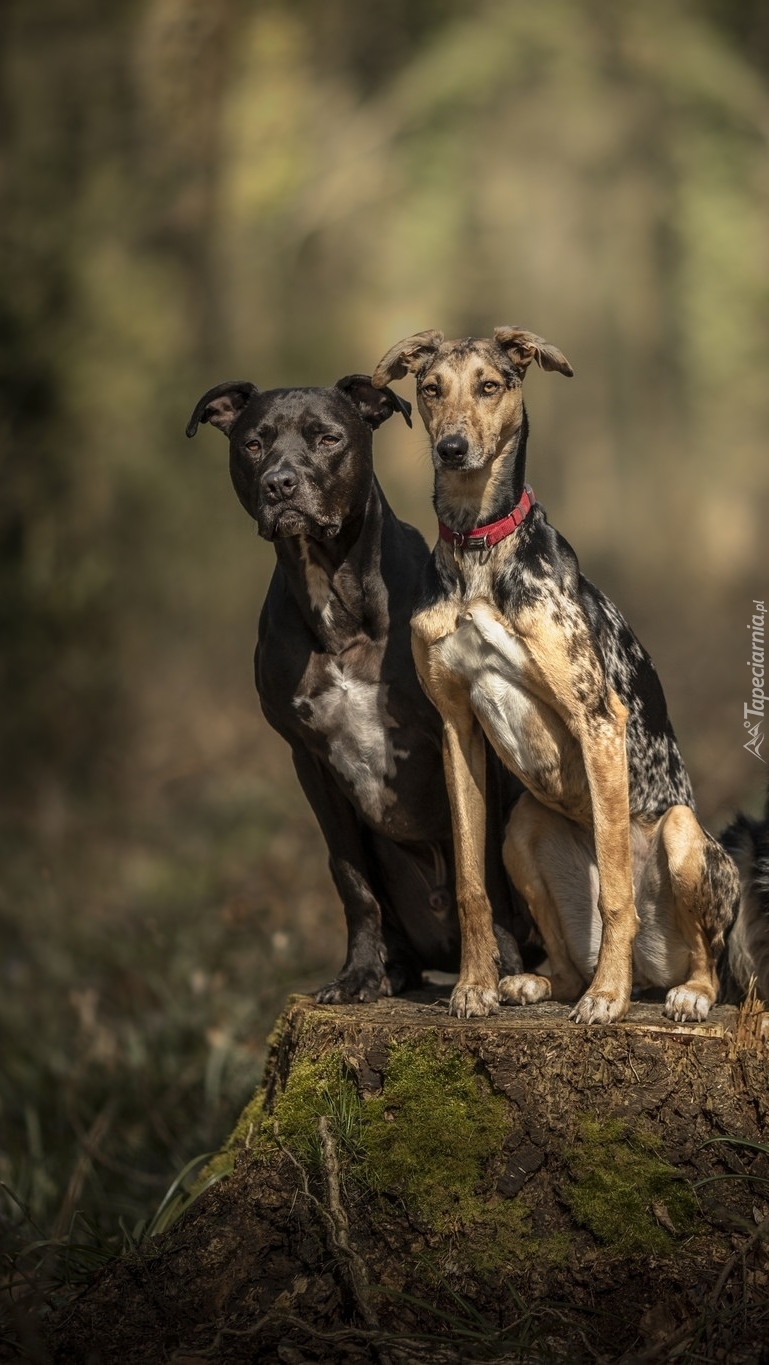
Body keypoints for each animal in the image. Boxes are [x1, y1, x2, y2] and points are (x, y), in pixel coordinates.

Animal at [187, 374, 527, 1004]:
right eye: (253, 444)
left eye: (328, 438)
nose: (280, 483)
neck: (337, 599)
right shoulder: (311, 762)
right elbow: (353, 882)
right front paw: (360, 974)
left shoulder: (467, 735)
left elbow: (484, 863)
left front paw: (503, 966)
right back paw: (394, 969)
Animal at [374, 324, 737, 1021]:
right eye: (430, 388)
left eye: (490, 386)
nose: (452, 448)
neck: (478, 547)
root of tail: (655, 965)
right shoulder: (457, 730)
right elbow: (470, 885)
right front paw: (474, 985)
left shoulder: (597, 719)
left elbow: (616, 892)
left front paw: (607, 1000)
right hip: (522, 829)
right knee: (567, 963)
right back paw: (537, 983)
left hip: (683, 835)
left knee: (705, 957)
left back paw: (672, 993)